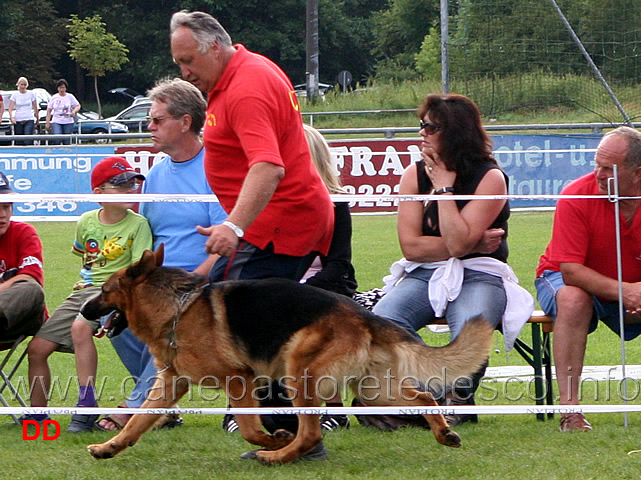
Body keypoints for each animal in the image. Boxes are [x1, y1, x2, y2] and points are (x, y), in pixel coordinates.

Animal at [80, 246, 490, 464]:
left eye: (105, 290)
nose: (83, 310)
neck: (178, 308)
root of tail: (364, 314)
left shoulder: (240, 381)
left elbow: (248, 428)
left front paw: (272, 440)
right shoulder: (170, 384)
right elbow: (136, 422)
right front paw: (109, 448)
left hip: (299, 374)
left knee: (309, 433)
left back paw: (277, 455)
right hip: (372, 391)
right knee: (422, 397)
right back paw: (444, 433)